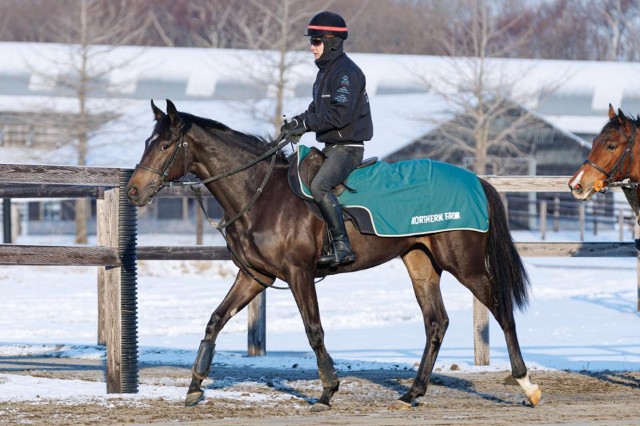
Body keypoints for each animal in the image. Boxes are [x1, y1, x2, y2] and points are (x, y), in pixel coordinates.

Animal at [126, 99, 541, 410]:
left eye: (165, 145)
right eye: (147, 141)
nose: (133, 191)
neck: (260, 193)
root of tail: (476, 181)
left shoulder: (298, 274)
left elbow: (314, 330)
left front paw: (328, 390)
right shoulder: (255, 276)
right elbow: (214, 320)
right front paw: (194, 385)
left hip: (466, 265)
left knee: (502, 310)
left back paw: (526, 385)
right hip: (421, 262)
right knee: (436, 322)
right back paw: (412, 393)